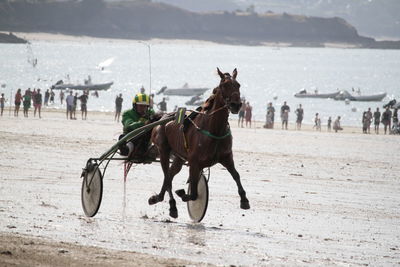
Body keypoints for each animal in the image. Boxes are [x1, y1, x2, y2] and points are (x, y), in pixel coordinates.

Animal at [149, 68, 250, 219]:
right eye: (224, 85)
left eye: (238, 85)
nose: (236, 105)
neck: (214, 129)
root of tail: (163, 116)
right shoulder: (194, 161)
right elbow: (194, 193)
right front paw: (183, 193)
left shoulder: (227, 157)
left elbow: (236, 175)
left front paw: (244, 200)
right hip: (163, 151)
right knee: (167, 178)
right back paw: (168, 203)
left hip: (179, 157)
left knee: (170, 175)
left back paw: (163, 201)